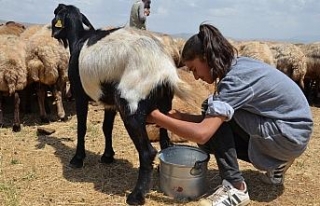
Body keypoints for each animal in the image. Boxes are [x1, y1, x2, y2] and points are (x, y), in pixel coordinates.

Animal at [50, 4, 190, 205]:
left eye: (56, 14)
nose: (52, 33)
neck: (78, 39)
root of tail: (164, 71)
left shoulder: (79, 93)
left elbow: (81, 127)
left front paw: (77, 159)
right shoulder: (109, 102)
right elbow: (106, 127)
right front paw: (108, 156)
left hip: (131, 104)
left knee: (148, 152)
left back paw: (136, 195)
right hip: (165, 104)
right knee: (166, 141)